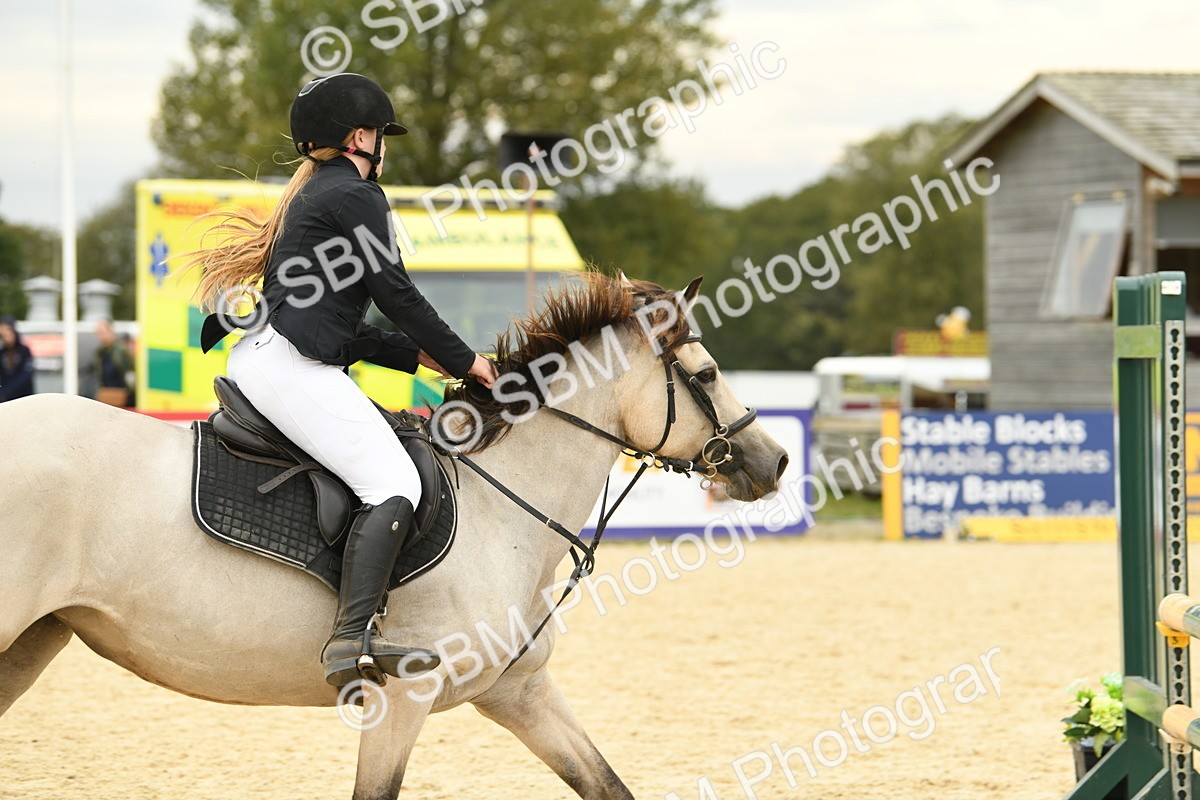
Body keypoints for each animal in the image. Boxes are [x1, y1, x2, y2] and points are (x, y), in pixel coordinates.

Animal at [0, 274, 788, 799]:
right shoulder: (400, 700)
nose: (774, 460)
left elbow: (607, 784)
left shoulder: (521, 691)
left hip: (33, 640)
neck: (500, 504)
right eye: (708, 373)